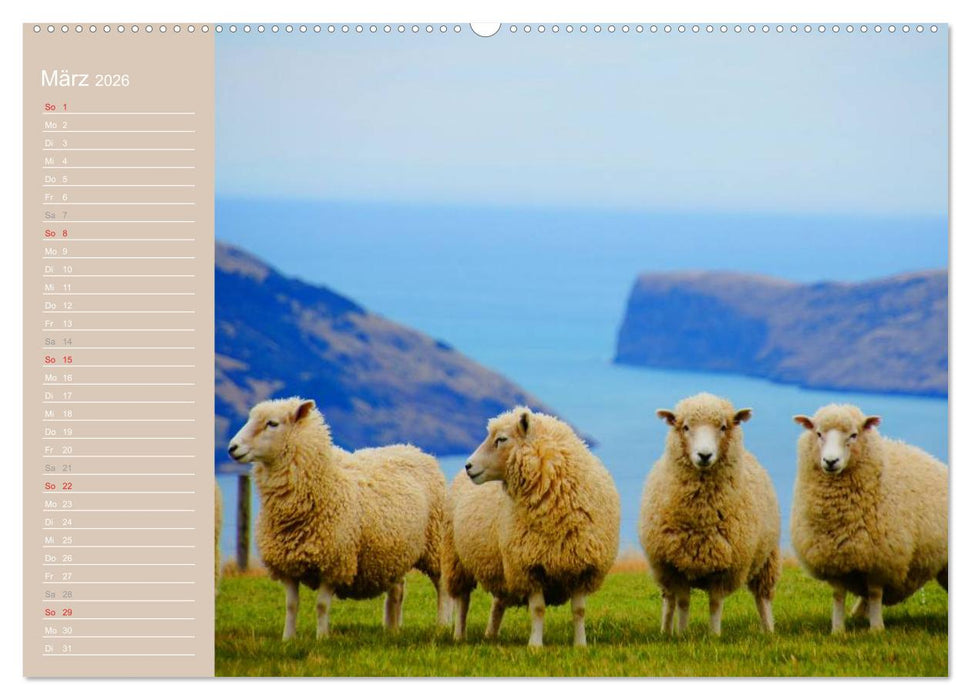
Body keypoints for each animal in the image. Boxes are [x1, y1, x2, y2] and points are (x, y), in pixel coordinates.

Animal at [227, 396, 449, 639]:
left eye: (272, 423)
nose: (232, 448)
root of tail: (413, 448)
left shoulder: (334, 563)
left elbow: (322, 605)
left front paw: (322, 638)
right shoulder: (287, 565)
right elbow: (291, 605)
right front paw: (288, 639)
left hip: (435, 544)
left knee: (442, 586)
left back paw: (442, 624)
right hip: (395, 551)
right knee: (397, 590)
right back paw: (391, 628)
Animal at [442, 406, 620, 647]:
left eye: (501, 439)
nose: (468, 465)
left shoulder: (582, 566)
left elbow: (579, 611)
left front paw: (580, 645)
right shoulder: (529, 565)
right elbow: (538, 609)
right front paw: (535, 645)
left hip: (500, 564)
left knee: (498, 601)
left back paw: (491, 635)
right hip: (457, 559)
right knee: (463, 601)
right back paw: (460, 636)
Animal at [639, 393, 781, 636]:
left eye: (723, 427)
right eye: (685, 427)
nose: (704, 455)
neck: (701, 516)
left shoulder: (725, 568)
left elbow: (715, 604)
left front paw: (714, 635)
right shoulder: (675, 566)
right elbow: (683, 602)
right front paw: (682, 634)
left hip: (768, 558)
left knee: (763, 598)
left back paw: (768, 630)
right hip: (662, 571)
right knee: (669, 601)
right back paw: (666, 631)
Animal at [792, 404, 948, 633]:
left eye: (854, 435)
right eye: (818, 433)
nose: (830, 461)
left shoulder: (880, 557)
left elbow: (875, 593)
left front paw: (876, 629)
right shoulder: (833, 557)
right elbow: (838, 595)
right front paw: (838, 630)